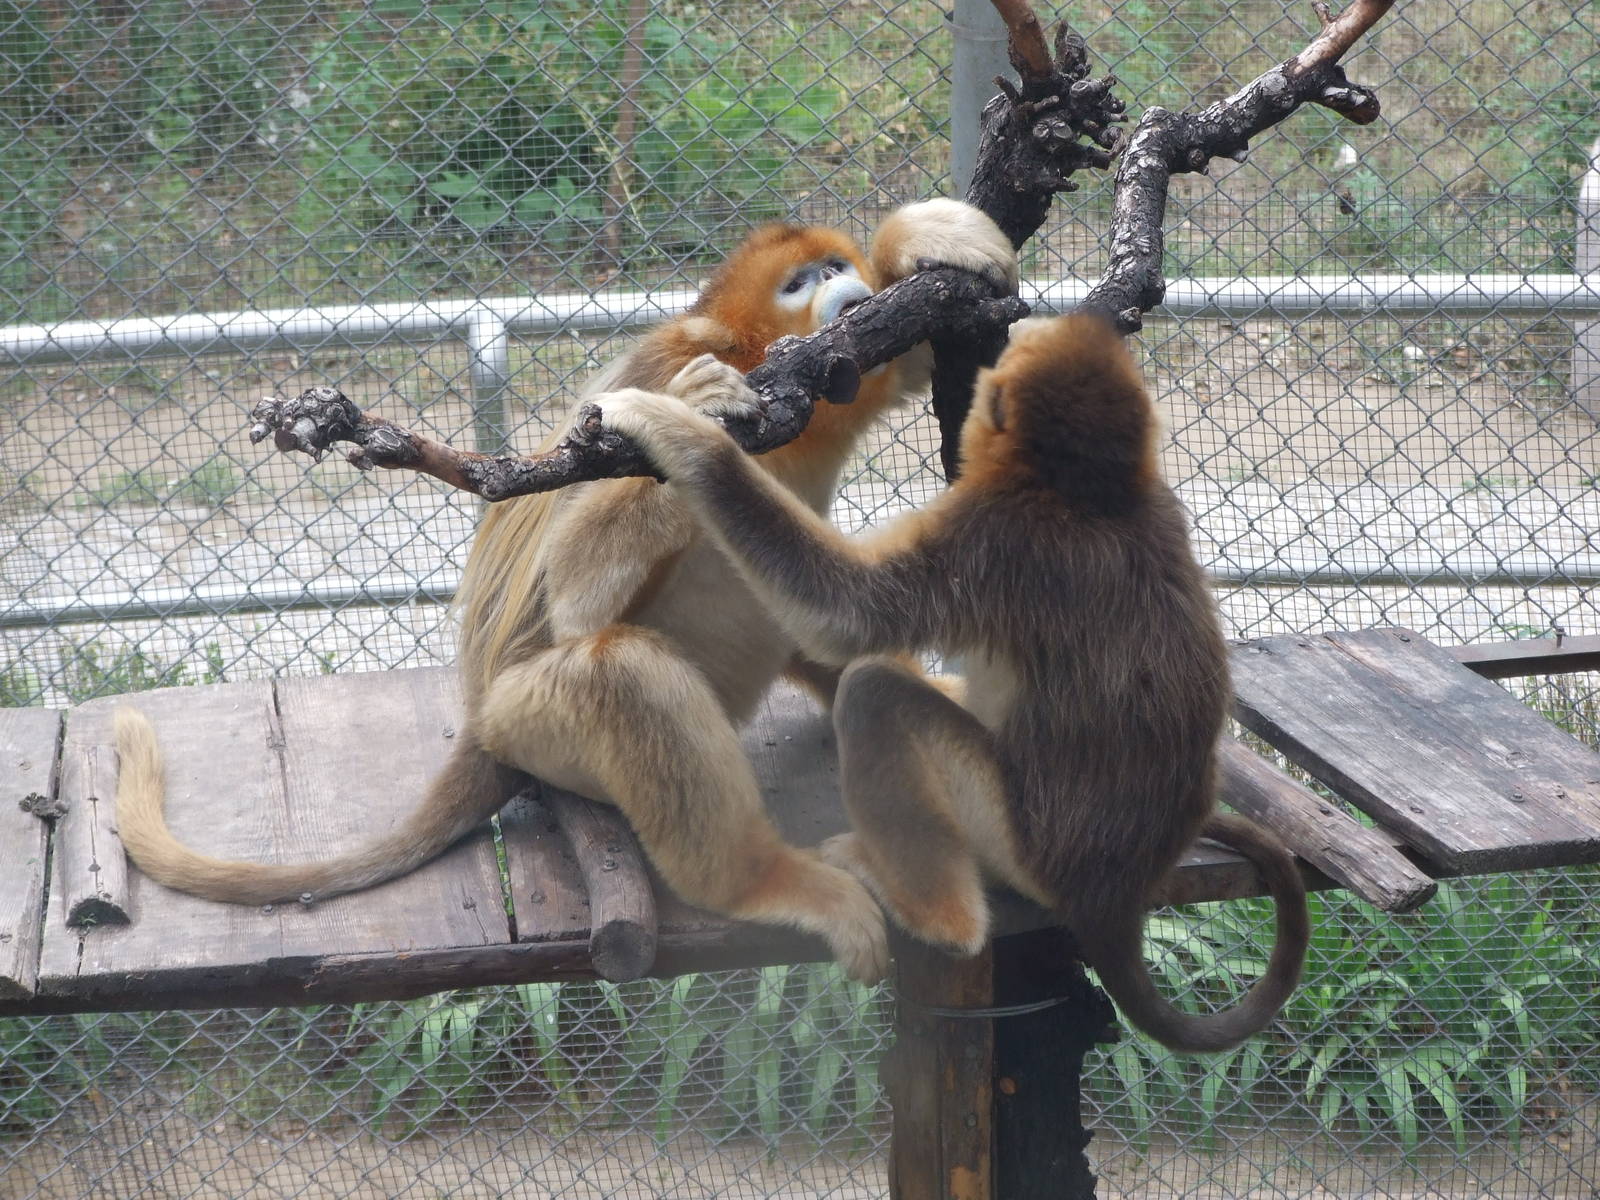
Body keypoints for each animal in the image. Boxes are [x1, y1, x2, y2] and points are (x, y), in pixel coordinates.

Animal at [114, 199, 1018, 984]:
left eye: (837, 266)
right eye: (800, 283)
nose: (841, 286)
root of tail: (480, 722)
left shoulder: (841, 374)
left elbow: (916, 358)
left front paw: (927, 238)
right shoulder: (683, 366)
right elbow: (579, 596)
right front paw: (684, 417)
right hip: (528, 720)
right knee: (619, 669)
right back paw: (763, 885)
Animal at [585, 312, 1310, 1050]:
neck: (1095, 498)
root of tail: (1108, 893)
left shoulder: (994, 534)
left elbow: (850, 614)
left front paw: (681, 432)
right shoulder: (1157, 504)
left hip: (1010, 837)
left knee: (876, 695)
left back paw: (939, 920)